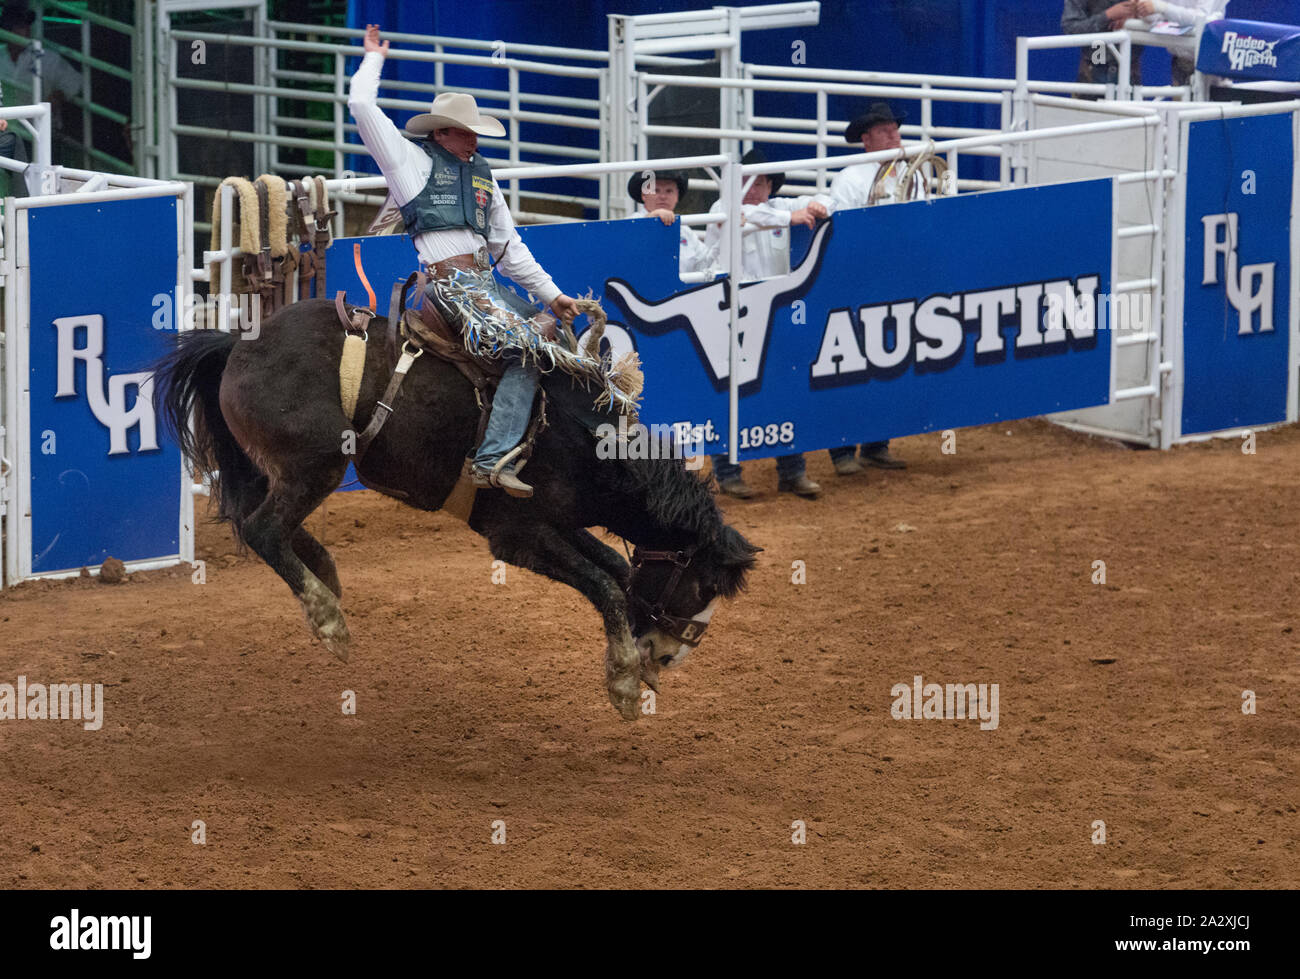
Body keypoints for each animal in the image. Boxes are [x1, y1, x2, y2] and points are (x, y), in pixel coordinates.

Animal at [152, 297, 759, 717]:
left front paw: (630, 657)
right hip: (318, 460)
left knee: (264, 523)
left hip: (282, 469)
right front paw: (626, 684)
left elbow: (616, 569)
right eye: (704, 584)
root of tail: (238, 345)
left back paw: (324, 579)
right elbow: (606, 583)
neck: (581, 437)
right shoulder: (514, 533)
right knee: (263, 530)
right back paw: (327, 619)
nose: (670, 656)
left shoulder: (556, 521)